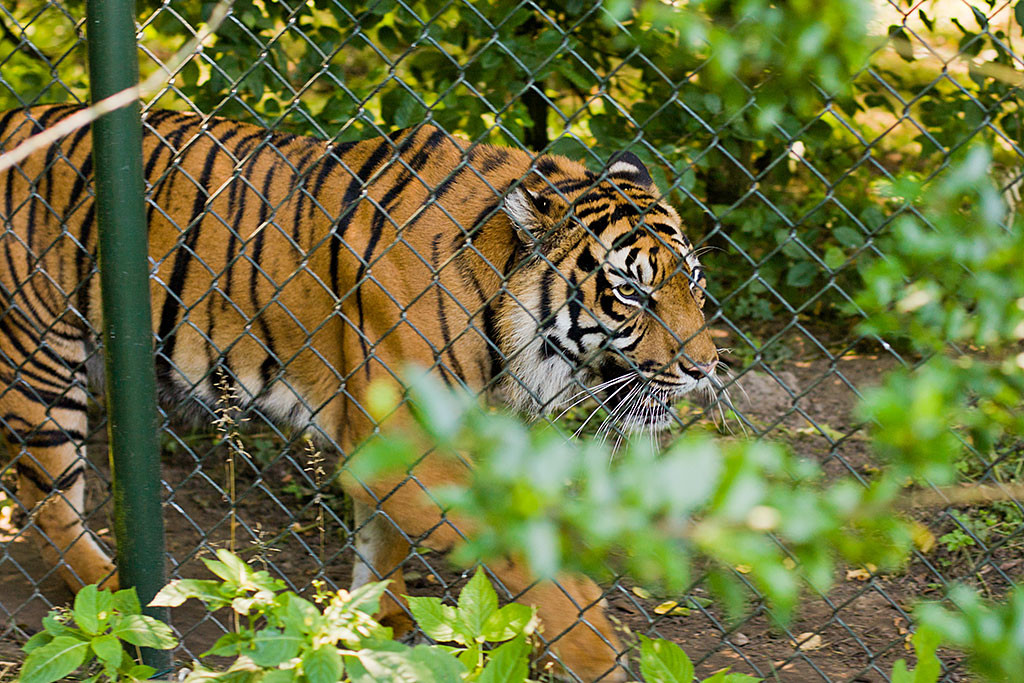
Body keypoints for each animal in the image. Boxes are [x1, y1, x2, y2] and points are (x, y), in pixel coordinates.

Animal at [0, 104, 719, 681]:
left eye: (693, 279)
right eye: (631, 291)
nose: (707, 367)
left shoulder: (403, 449)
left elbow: (383, 546)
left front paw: (375, 633)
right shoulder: (408, 441)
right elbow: (526, 557)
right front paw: (601, 656)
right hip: (40, 362)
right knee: (47, 504)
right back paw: (115, 605)